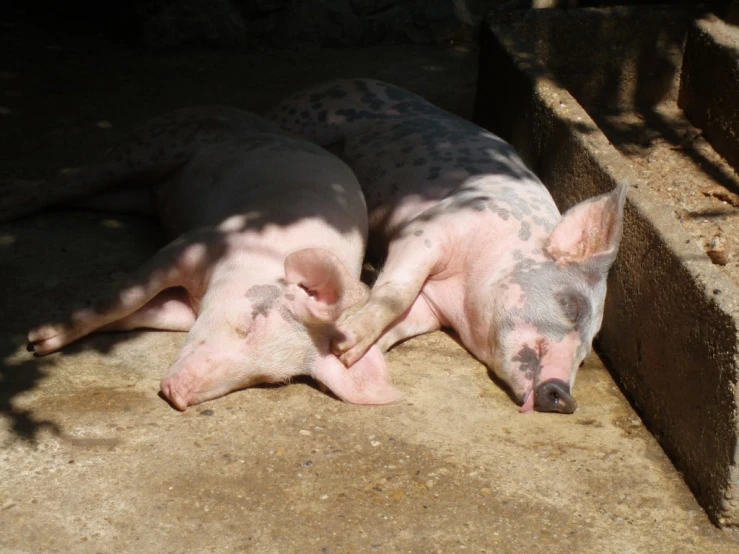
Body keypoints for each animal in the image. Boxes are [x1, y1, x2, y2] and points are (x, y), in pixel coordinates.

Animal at [2, 106, 402, 410]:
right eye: (250, 323)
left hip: (132, 195)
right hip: (153, 144)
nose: (176, 396)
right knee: (72, 180)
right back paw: (12, 203)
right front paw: (37, 340)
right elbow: (123, 298)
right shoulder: (198, 241)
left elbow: (137, 314)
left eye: (268, 379)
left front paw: (40, 342)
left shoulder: (186, 309)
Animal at [268, 80, 628, 412]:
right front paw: (345, 344)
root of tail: (327, 85)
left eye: (585, 356)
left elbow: (400, 323)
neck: (461, 295)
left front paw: (346, 361)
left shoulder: (430, 308)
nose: (565, 398)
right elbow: (397, 294)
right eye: (571, 307)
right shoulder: (428, 230)